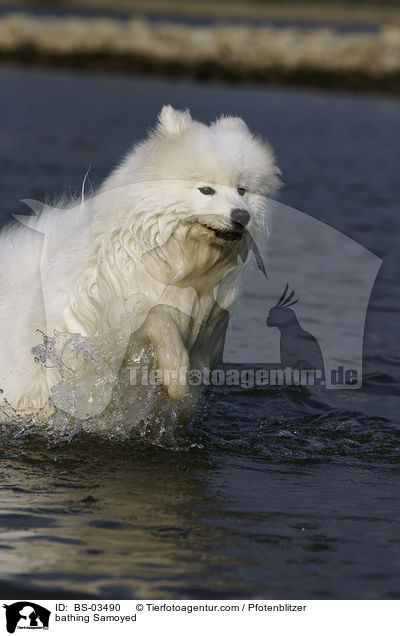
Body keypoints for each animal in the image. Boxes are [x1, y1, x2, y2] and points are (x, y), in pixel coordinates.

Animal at [0, 107, 280, 428]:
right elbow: (159, 317)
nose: (241, 216)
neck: (176, 260)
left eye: (242, 191)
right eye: (206, 190)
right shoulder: (99, 333)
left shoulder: (208, 324)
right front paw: (176, 378)